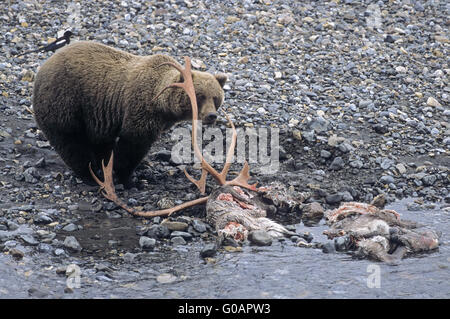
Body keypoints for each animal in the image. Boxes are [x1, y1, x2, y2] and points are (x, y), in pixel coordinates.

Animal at [33, 41, 227, 185]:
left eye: (216, 97)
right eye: (200, 96)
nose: (211, 116)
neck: (163, 107)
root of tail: (43, 67)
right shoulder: (141, 108)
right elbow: (133, 142)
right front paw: (126, 177)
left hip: (93, 115)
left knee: (98, 141)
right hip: (65, 101)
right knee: (71, 143)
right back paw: (90, 175)